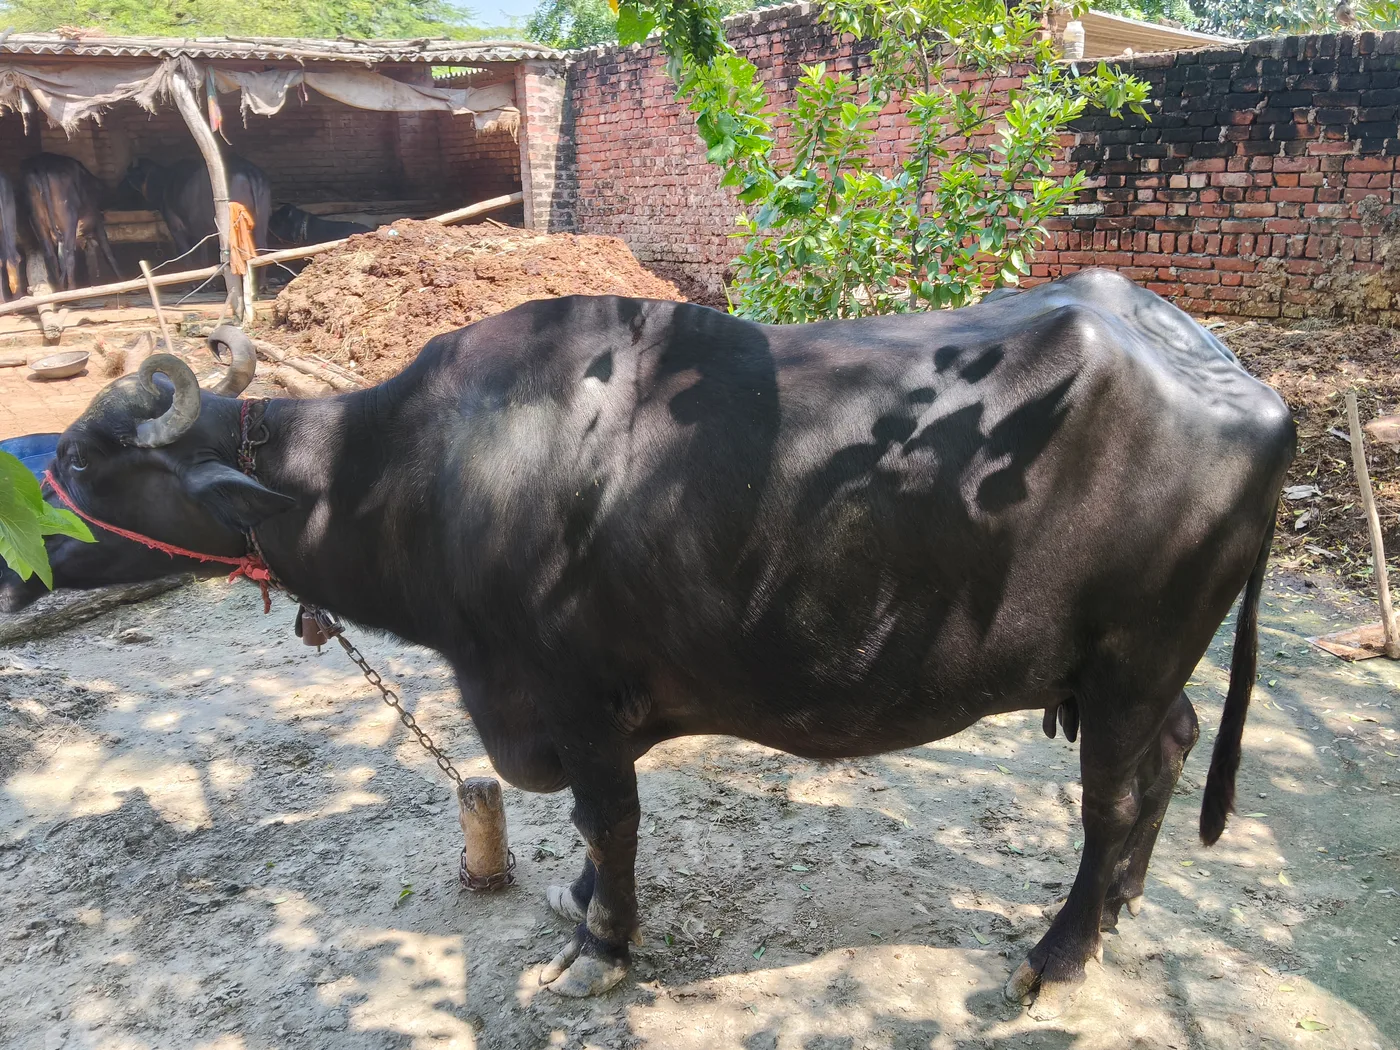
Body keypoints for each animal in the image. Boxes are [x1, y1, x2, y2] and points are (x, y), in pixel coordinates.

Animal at [17, 270, 1295, 1014]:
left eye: (79, 460)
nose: (11, 556)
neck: (424, 477)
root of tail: (1240, 380)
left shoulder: (581, 709)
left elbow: (610, 824)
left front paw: (602, 947)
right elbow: (592, 838)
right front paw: (582, 905)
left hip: (1131, 658)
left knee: (1112, 795)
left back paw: (1060, 950)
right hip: (1138, 671)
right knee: (1169, 752)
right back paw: (1117, 907)